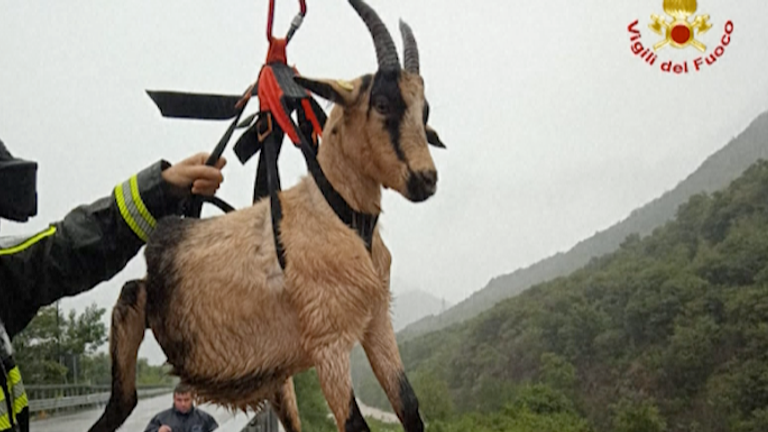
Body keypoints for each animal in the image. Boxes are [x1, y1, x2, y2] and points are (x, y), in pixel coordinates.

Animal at [88, 0, 444, 432]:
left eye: (424, 110)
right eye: (382, 103)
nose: (426, 180)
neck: (339, 215)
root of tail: (170, 232)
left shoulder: (376, 322)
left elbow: (409, 406)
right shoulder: (329, 342)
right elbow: (354, 423)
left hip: (277, 378)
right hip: (134, 303)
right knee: (122, 401)